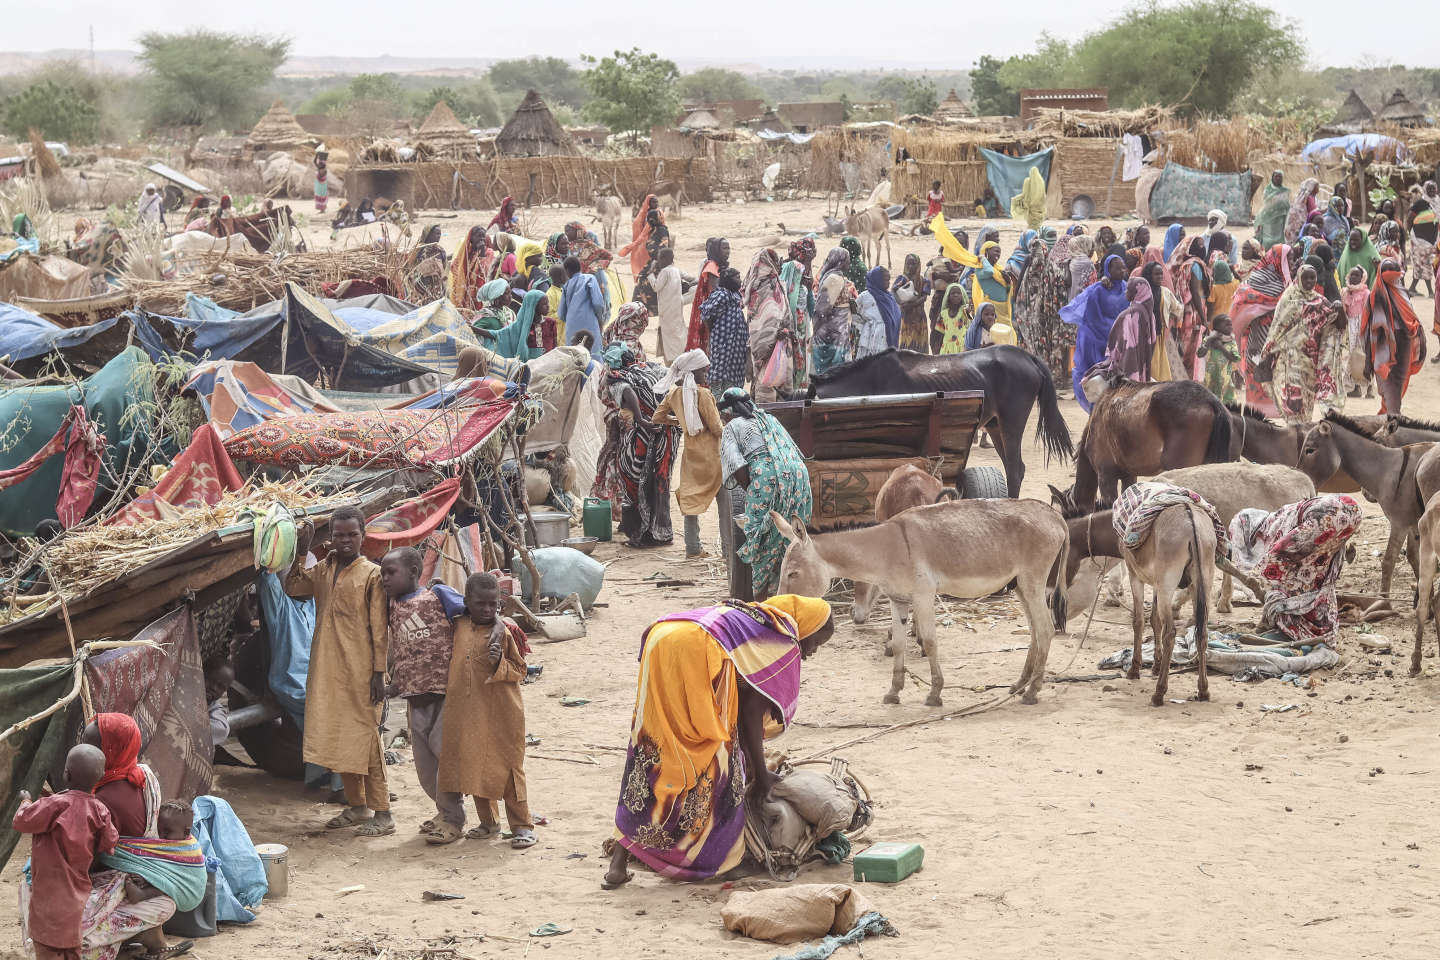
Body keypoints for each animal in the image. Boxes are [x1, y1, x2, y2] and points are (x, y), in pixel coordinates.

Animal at [812, 345, 1071, 495]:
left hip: (1011, 423)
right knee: (1013, 467)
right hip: (995, 426)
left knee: (1015, 469)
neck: (871, 385)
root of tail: (1026, 356)